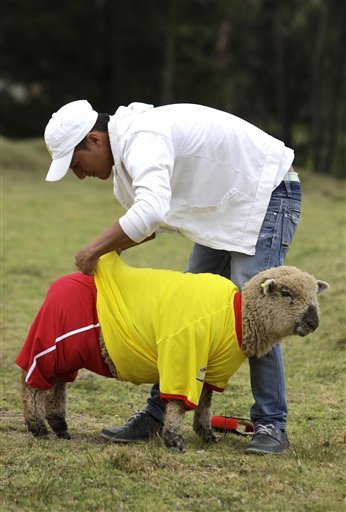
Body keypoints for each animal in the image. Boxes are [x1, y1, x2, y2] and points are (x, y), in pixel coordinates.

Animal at [16, 254, 330, 450]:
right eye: (286, 294)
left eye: (314, 295)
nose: (314, 322)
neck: (237, 316)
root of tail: (57, 284)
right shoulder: (184, 354)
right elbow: (179, 404)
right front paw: (174, 440)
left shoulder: (211, 369)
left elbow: (205, 404)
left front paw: (207, 434)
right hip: (54, 341)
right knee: (31, 382)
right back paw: (37, 427)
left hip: (68, 351)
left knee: (57, 384)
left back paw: (59, 426)